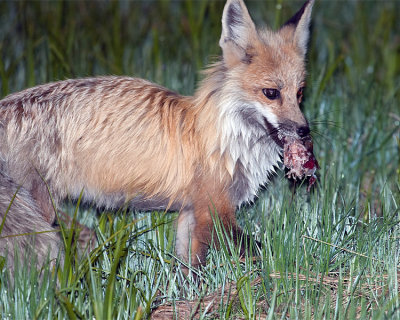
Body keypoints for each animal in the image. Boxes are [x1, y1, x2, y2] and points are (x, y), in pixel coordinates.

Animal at [0, 0, 318, 274]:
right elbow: (257, 249)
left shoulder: (191, 213)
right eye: (271, 93)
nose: (304, 130)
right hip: (44, 208)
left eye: (300, 92)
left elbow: (189, 266)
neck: (227, 142)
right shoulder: (214, 211)